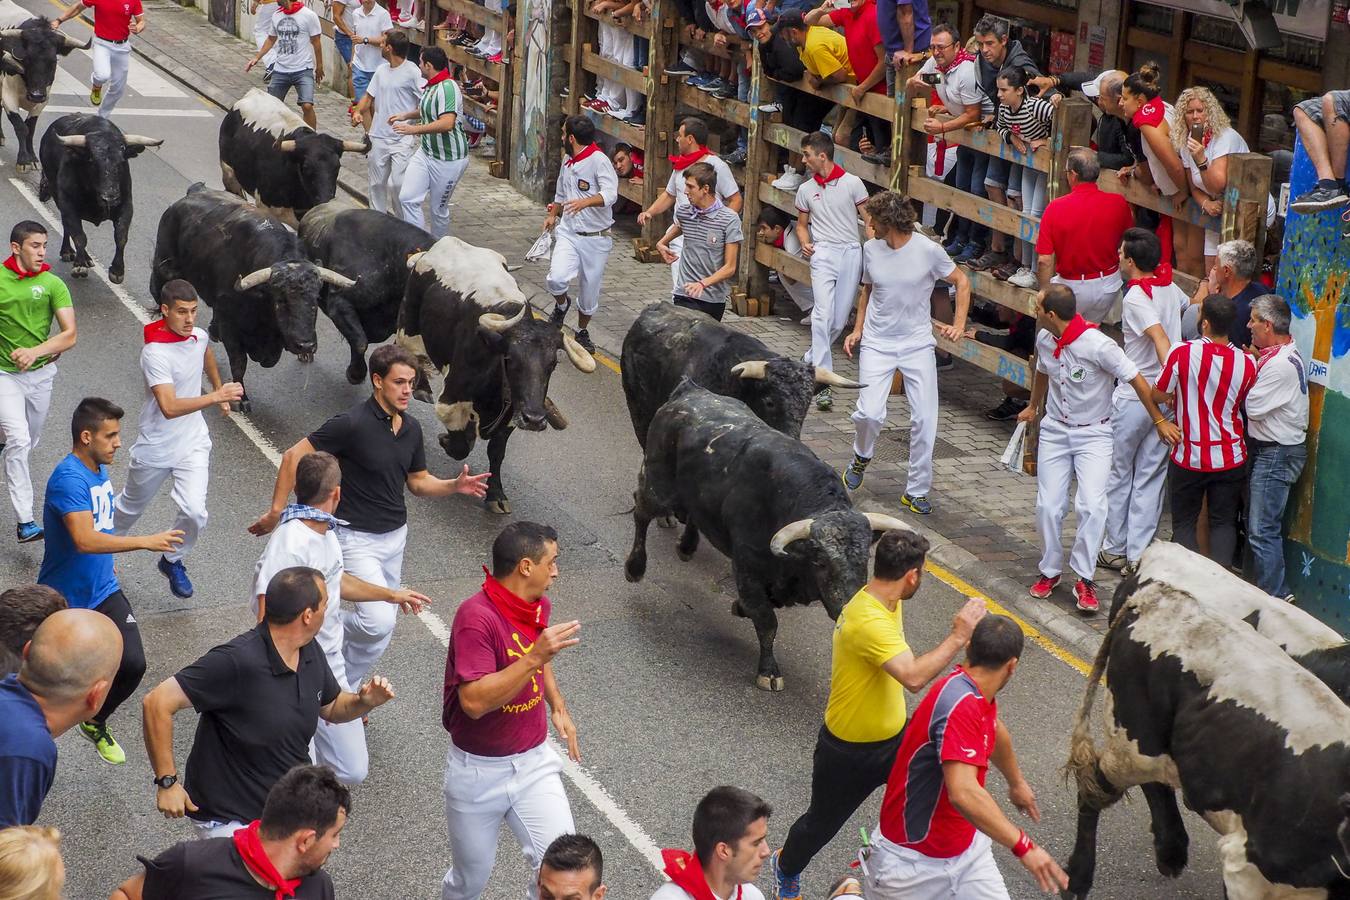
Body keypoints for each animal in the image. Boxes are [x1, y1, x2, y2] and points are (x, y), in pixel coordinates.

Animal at [623, 383, 907, 696]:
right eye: (821, 561)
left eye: (864, 557)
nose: (849, 606)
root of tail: (688, 391)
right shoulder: (747, 564)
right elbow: (767, 621)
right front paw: (769, 671)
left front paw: (740, 608)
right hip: (658, 486)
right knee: (641, 511)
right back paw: (635, 567)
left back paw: (686, 547)